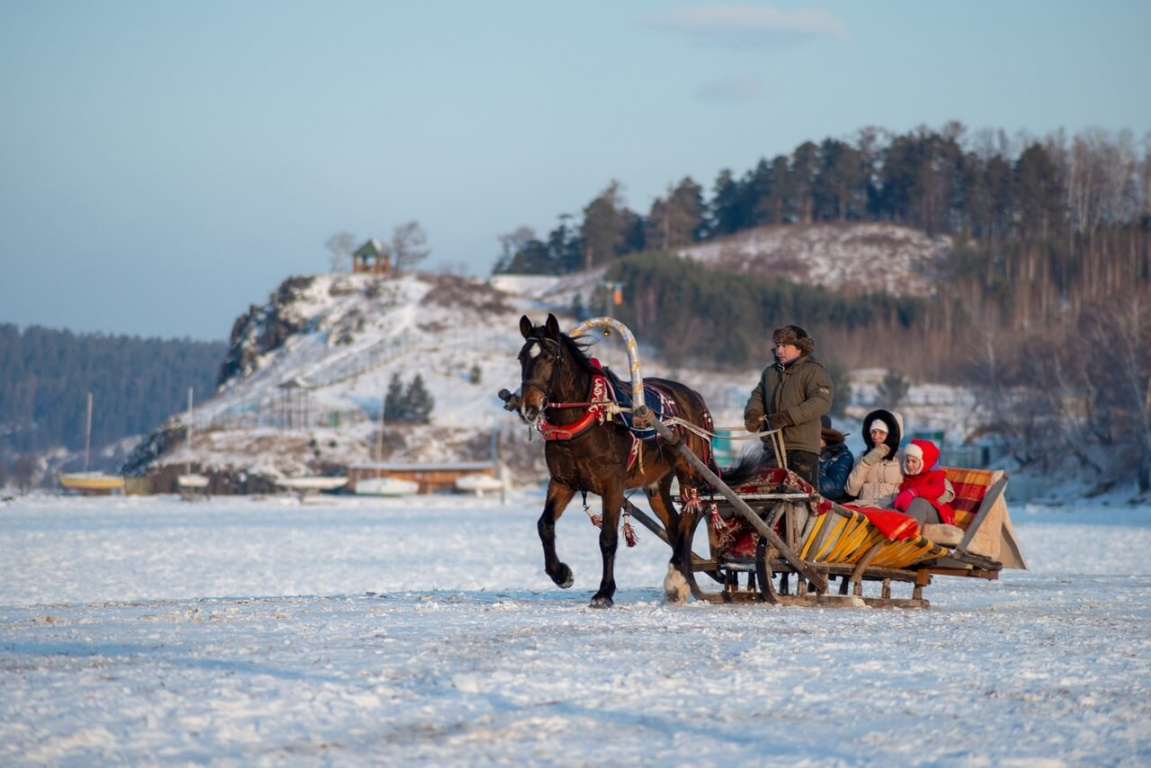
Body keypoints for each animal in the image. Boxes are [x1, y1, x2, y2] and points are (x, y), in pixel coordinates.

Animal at [515, 313, 741, 607]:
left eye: (551, 358)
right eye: (521, 357)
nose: (528, 409)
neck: (591, 417)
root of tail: (695, 396)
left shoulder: (612, 484)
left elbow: (608, 538)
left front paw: (604, 592)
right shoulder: (563, 482)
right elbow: (545, 525)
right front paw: (561, 574)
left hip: (690, 466)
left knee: (691, 513)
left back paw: (676, 576)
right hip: (657, 484)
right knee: (675, 523)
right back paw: (682, 573)